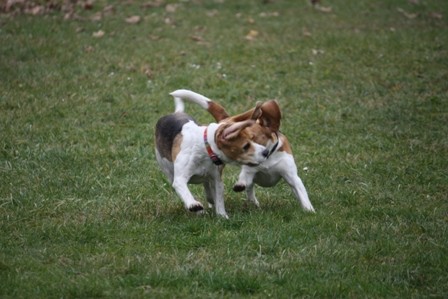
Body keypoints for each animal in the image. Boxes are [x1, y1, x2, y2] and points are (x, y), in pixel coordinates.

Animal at [156, 89, 272, 218]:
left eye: (253, 138)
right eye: (245, 146)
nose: (266, 152)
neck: (204, 148)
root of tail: (177, 112)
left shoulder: (217, 179)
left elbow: (219, 199)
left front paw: (222, 216)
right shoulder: (179, 179)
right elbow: (185, 192)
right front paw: (193, 205)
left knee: (208, 188)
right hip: (168, 170)